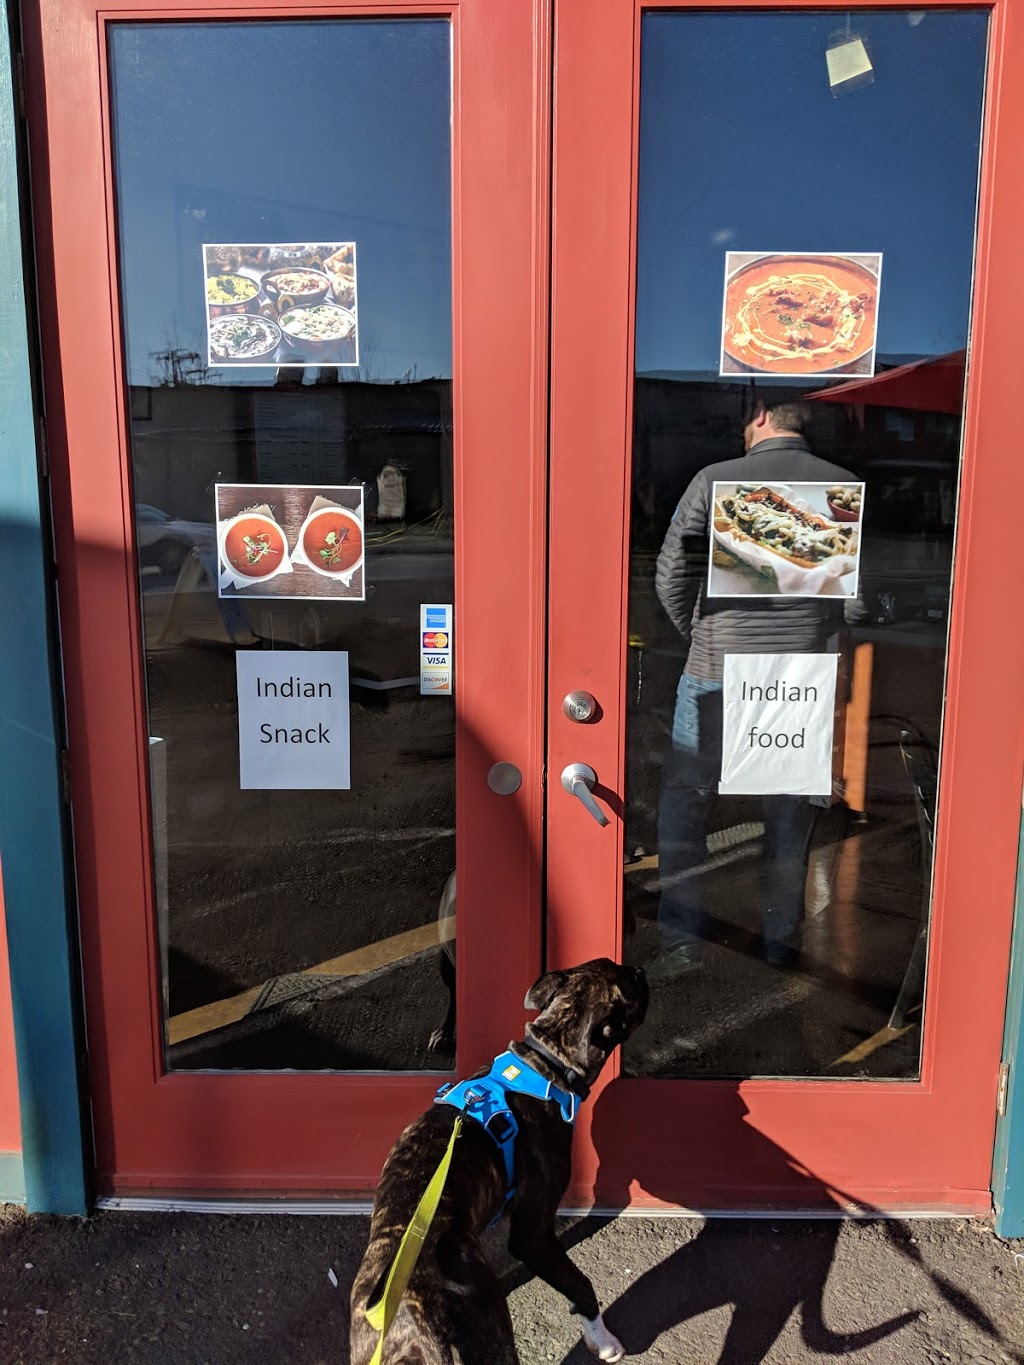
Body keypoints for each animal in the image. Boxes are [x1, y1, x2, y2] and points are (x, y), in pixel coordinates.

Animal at [350, 958, 649, 1364]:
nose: (641, 969)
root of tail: (416, 1322)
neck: (546, 1064)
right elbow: (580, 1284)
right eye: (631, 981)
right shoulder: (533, 1236)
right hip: (491, 1327)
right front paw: (602, 1340)